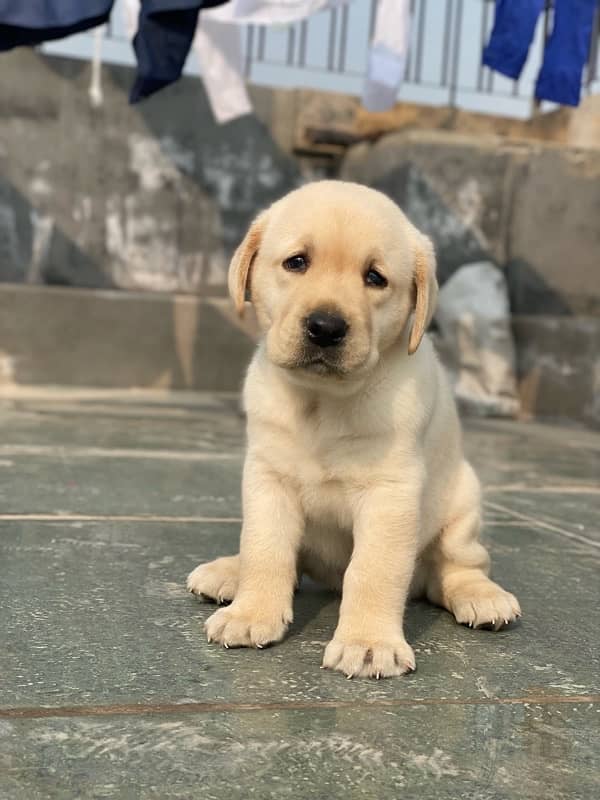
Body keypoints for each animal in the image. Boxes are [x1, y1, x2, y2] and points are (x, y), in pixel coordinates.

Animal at [188, 183, 520, 680]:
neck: (322, 403)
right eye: (297, 262)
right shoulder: (268, 478)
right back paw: (229, 572)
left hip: (463, 503)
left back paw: (481, 596)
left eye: (375, 278)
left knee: (455, 567)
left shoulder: (390, 493)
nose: (326, 327)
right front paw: (252, 613)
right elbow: (266, 549)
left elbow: (373, 570)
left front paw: (368, 644)